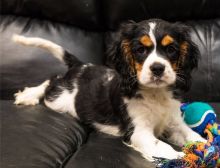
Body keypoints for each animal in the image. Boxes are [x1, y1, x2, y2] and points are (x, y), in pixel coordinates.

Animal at [12, 19, 205, 161]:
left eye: (171, 49)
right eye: (140, 50)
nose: (158, 68)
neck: (156, 93)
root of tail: (81, 66)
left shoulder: (175, 121)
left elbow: (193, 136)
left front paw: (203, 147)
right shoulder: (138, 131)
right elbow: (163, 146)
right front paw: (181, 156)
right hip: (59, 99)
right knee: (51, 81)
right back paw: (29, 95)